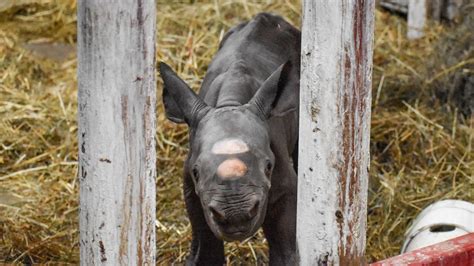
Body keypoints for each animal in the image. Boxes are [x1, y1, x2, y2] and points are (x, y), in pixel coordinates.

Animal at [159, 13, 300, 266]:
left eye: (268, 167)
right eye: (196, 172)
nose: (237, 216)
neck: (230, 103)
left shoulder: (284, 186)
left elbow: (285, 247)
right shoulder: (192, 190)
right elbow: (204, 246)